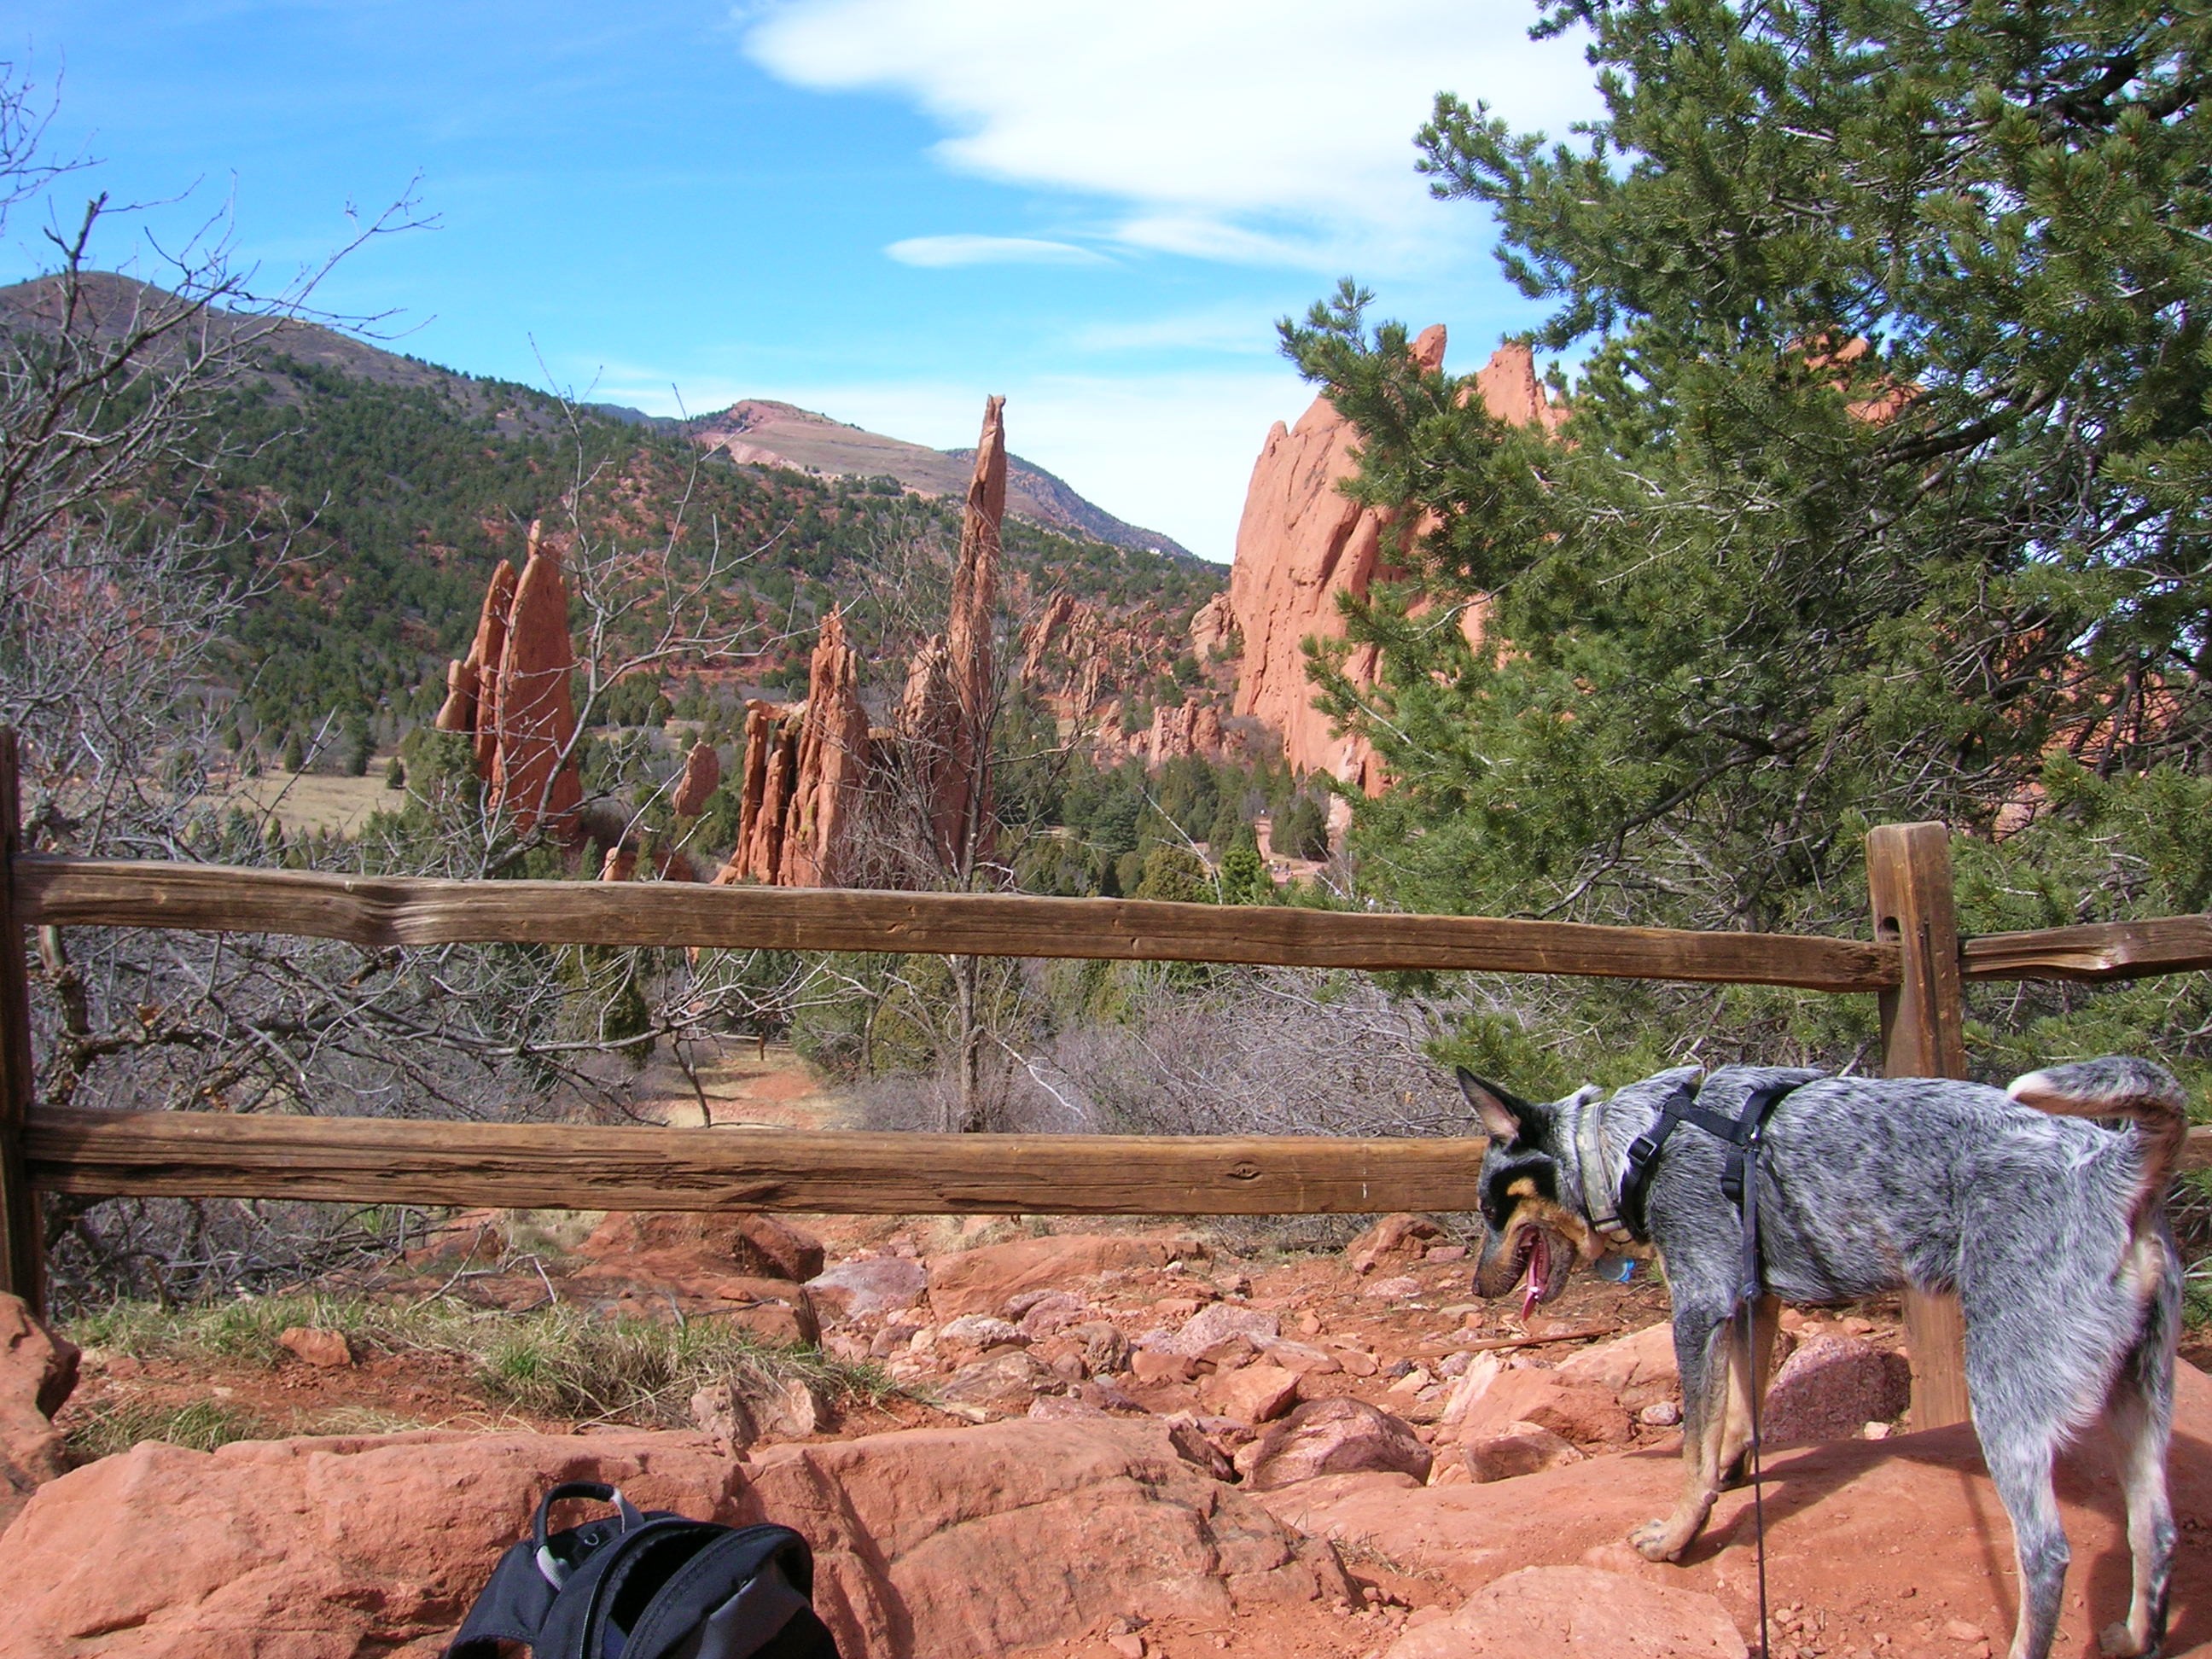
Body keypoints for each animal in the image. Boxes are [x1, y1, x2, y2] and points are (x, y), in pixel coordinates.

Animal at [1458, 1057, 2188, 1659]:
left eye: (1493, 1208)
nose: (1477, 1286)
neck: (1633, 1145)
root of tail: (2114, 1164)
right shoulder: (1753, 1305)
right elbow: (1737, 1419)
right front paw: (1731, 1475)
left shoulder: (1699, 1308)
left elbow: (1694, 1451)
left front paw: (1678, 1537)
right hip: (2141, 1399)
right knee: (2155, 1532)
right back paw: (2134, 1639)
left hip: (2004, 1395)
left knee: (2047, 1555)